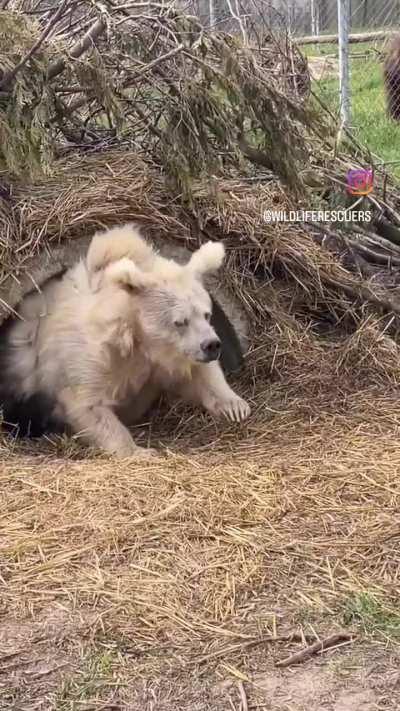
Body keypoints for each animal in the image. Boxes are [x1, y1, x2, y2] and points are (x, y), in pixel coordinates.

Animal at [0, 224, 251, 457]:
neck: (137, 339)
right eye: (180, 321)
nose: (212, 345)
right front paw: (141, 451)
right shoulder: (94, 358)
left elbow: (198, 374)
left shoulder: (162, 361)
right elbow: (88, 404)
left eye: (207, 314)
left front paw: (236, 407)